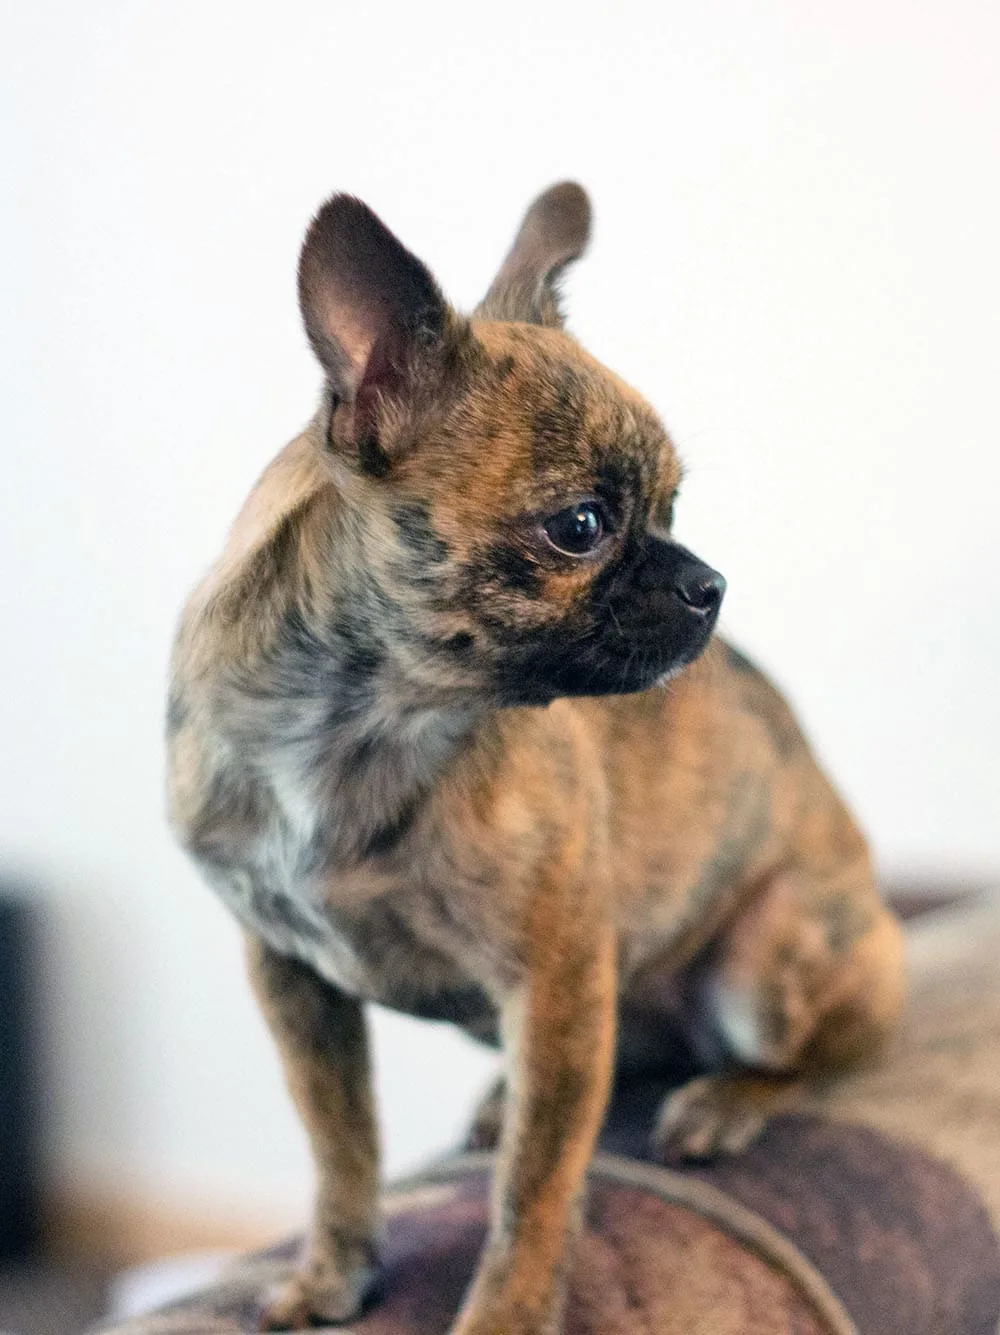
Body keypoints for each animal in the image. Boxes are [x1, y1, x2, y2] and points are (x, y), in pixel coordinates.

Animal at [169, 182, 902, 1329]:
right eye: (582, 526)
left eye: (673, 508)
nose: (711, 584)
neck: (366, 722)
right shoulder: (294, 980)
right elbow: (342, 1148)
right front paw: (332, 1275)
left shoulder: (555, 985)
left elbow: (534, 1188)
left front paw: (506, 1312)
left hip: (768, 959)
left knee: (817, 1059)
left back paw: (722, 1101)